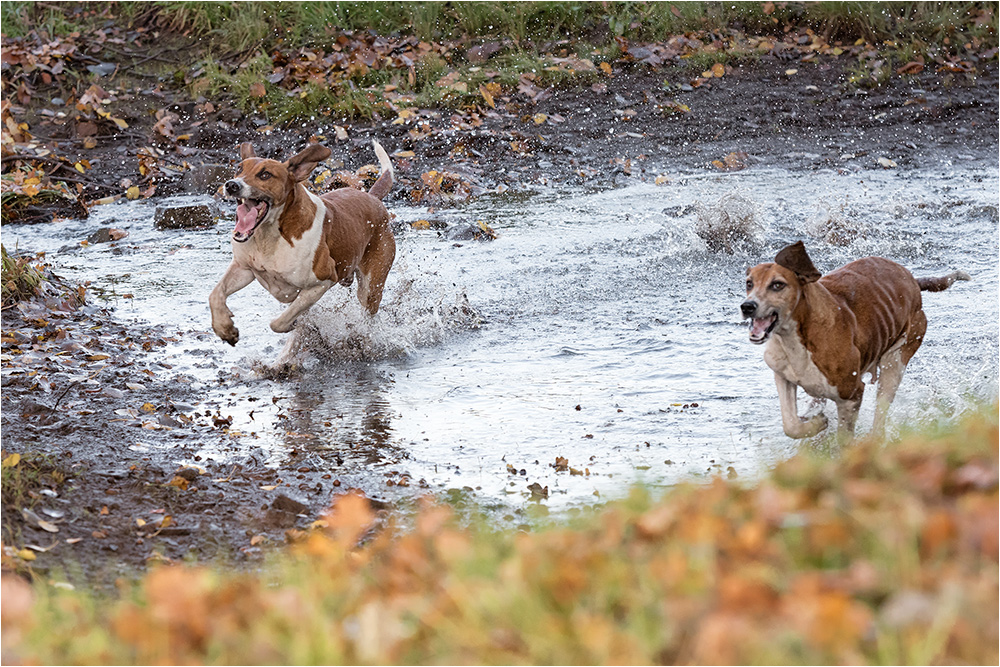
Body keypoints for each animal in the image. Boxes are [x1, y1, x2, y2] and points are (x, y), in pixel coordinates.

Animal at [210, 138, 394, 344]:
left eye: (265, 175)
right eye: (239, 169)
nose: (231, 185)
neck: (269, 235)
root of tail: (372, 197)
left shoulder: (322, 281)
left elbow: (279, 322)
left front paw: (294, 324)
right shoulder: (243, 268)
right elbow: (215, 294)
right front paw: (225, 328)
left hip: (371, 286)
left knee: (368, 308)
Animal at [744, 240, 968, 438]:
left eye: (777, 285)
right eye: (749, 284)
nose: (747, 306)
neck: (795, 337)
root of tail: (912, 279)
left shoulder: (851, 395)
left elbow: (844, 437)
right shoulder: (782, 376)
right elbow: (790, 425)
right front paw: (816, 423)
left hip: (896, 362)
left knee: (881, 412)